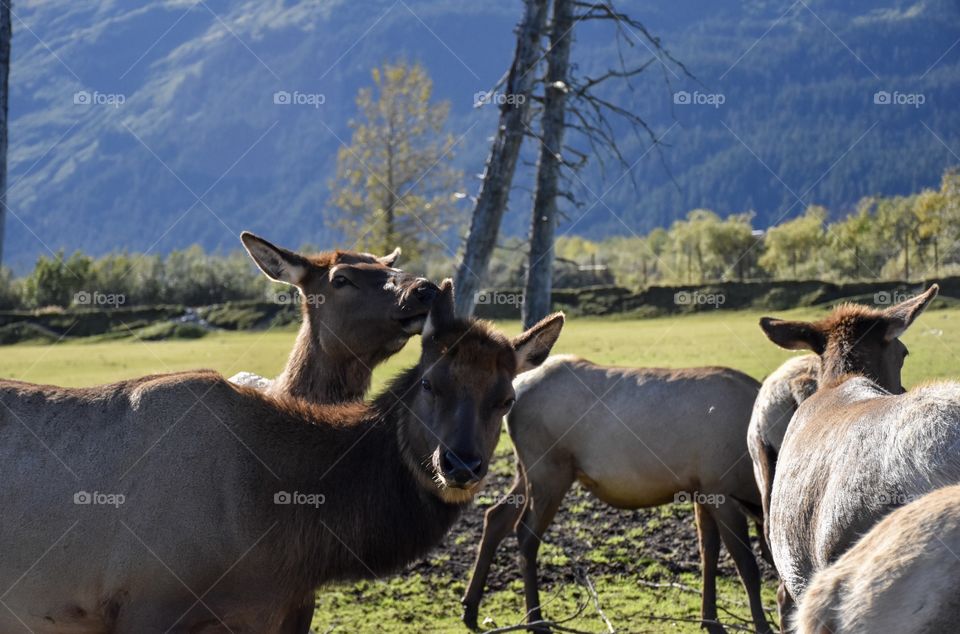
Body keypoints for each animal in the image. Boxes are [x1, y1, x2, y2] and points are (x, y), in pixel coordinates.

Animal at [464, 354, 772, 632]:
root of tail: (516, 393)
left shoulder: (703, 490)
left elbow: (708, 553)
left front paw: (710, 620)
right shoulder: (721, 489)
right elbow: (747, 565)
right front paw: (762, 625)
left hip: (525, 470)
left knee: (495, 516)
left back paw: (470, 608)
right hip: (549, 470)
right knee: (526, 533)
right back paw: (536, 621)